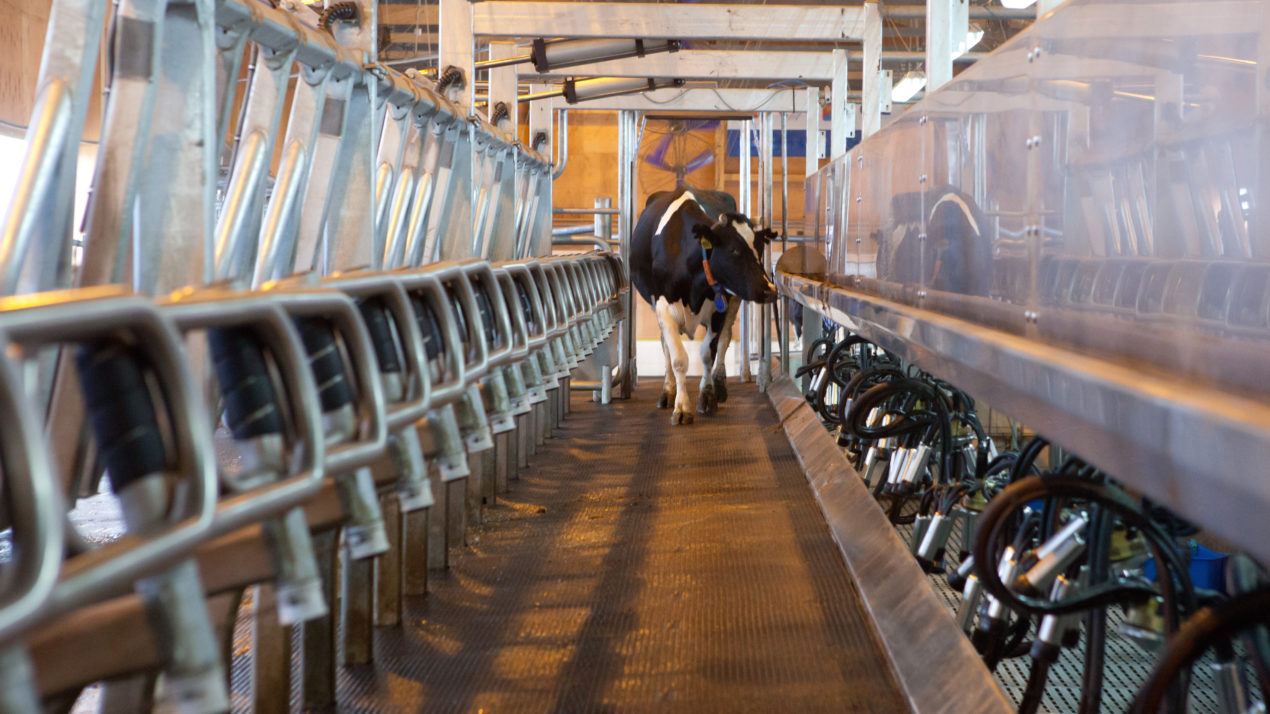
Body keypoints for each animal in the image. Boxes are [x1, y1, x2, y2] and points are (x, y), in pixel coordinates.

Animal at [629, 186, 777, 424]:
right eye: (734, 250)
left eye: (759, 250)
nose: (770, 290)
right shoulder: (663, 305)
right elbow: (678, 358)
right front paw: (681, 407)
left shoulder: (720, 307)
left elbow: (709, 353)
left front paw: (707, 396)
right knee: (666, 346)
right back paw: (668, 390)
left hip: (734, 301)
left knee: (725, 339)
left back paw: (720, 384)